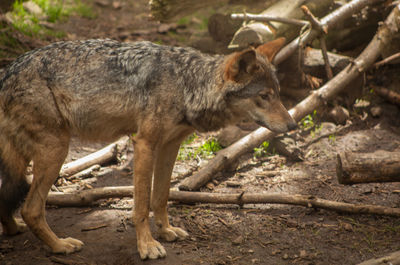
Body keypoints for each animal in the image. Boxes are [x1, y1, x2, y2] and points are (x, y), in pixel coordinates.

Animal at [0, 37, 294, 258]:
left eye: (278, 94)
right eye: (264, 96)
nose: (292, 125)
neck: (186, 84)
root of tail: (7, 72)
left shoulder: (170, 146)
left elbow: (160, 197)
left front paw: (166, 231)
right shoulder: (144, 145)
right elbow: (141, 205)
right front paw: (148, 246)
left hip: (25, 159)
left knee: (9, 197)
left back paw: (13, 230)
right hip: (57, 150)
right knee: (31, 209)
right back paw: (60, 246)